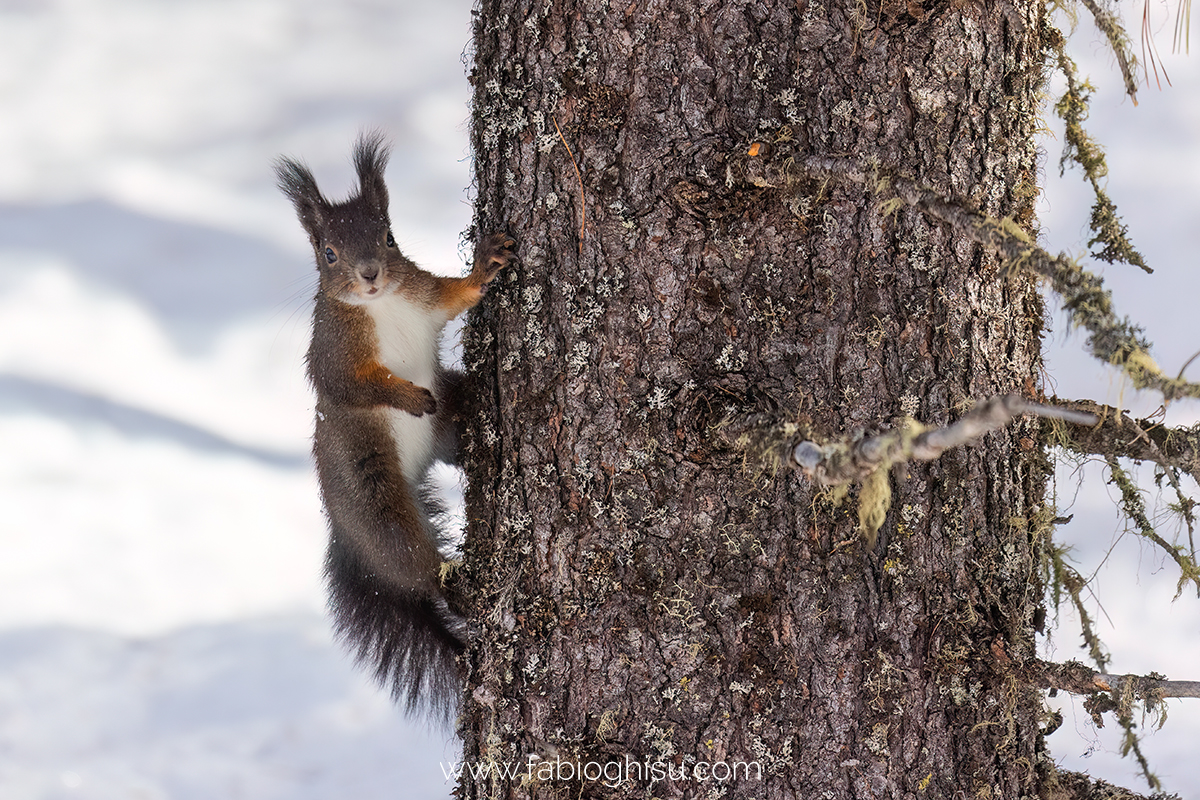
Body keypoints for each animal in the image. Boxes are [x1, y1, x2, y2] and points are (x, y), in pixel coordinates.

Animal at [274, 134, 513, 714]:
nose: (370, 275)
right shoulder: (331, 355)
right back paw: (456, 589)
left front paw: (485, 266)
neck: (382, 306)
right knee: (413, 565)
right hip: (373, 500)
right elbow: (354, 388)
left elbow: (456, 296)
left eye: (387, 236)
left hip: (450, 417)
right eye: (328, 253)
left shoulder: (423, 297)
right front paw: (406, 395)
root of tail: (346, 538)